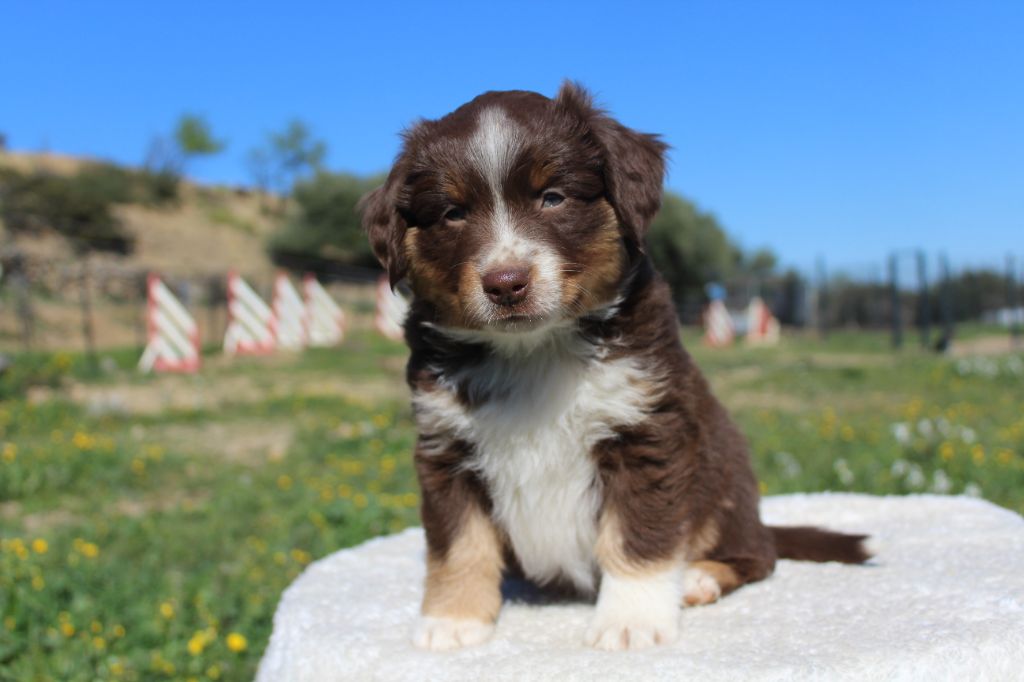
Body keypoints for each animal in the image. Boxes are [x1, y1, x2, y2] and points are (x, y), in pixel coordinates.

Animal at [360, 83, 870, 652]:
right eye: (453, 213)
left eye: (552, 197)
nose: (506, 283)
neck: (533, 350)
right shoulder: (445, 448)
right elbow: (458, 542)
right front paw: (453, 619)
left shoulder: (646, 432)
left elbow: (638, 537)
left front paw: (631, 621)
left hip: (727, 487)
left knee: (759, 555)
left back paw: (699, 577)